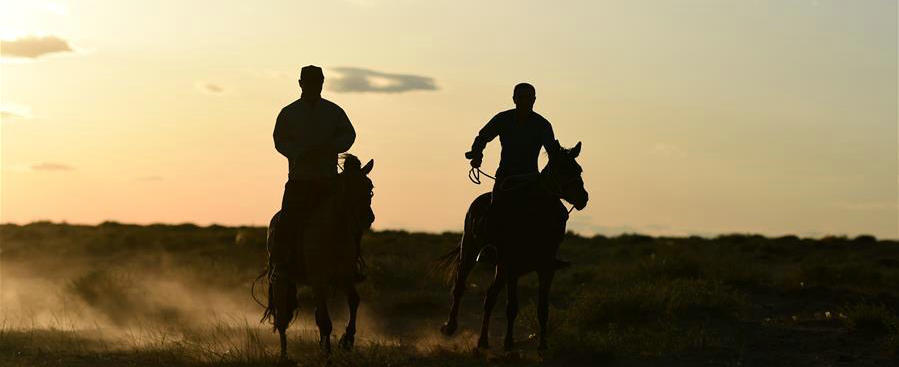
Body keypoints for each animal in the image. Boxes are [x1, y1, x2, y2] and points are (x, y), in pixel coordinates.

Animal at [258, 153, 374, 362]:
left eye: (370, 187)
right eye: (348, 188)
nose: (367, 218)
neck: (332, 231)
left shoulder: (344, 277)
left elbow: (354, 301)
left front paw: (347, 340)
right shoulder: (318, 279)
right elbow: (325, 321)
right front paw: (327, 355)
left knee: (313, 313)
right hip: (281, 281)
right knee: (282, 319)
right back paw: (284, 357)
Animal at [438, 140, 592, 350]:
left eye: (579, 169)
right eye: (560, 169)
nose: (583, 198)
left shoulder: (545, 268)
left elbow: (543, 308)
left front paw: (542, 346)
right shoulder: (511, 266)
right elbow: (511, 307)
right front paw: (509, 344)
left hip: (500, 268)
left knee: (490, 296)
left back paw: (483, 341)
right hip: (471, 251)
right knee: (461, 287)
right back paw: (453, 328)